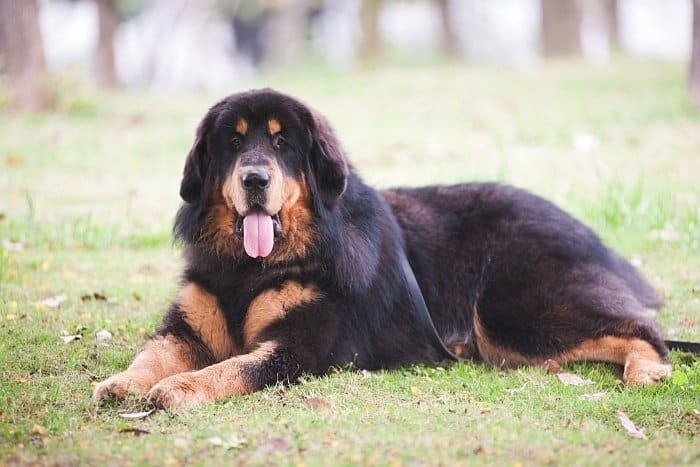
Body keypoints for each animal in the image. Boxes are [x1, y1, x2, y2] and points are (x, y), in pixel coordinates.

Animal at [93, 88, 672, 410]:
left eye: (282, 143)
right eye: (232, 142)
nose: (255, 178)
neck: (251, 269)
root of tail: (583, 229)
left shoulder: (298, 348)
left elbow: (228, 370)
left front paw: (180, 389)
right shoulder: (186, 329)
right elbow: (152, 354)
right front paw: (122, 382)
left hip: (512, 312)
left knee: (644, 329)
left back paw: (648, 372)